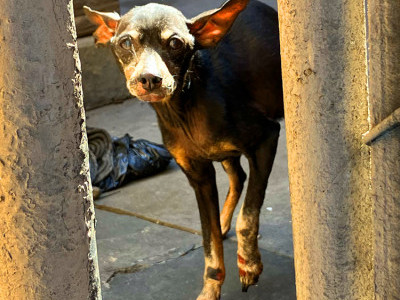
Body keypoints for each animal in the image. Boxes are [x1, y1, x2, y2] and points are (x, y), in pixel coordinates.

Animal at [85, 0, 282, 298]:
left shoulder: (266, 139)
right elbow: (209, 242)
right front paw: (211, 289)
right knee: (238, 177)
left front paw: (248, 263)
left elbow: (248, 216)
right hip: (220, 153)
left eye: (175, 43)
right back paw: (222, 221)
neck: (183, 107)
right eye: (125, 42)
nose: (149, 79)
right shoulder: (198, 176)